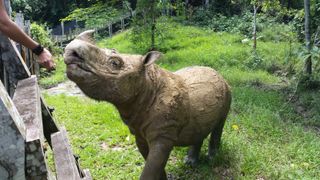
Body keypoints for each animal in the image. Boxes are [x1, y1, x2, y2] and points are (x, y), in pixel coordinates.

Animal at [63, 30, 232, 179]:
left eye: (115, 63)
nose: (71, 51)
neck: (147, 83)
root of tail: (217, 72)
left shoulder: (163, 134)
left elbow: (151, 167)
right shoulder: (138, 131)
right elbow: (154, 165)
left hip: (227, 89)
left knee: (220, 123)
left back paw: (212, 159)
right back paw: (190, 163)